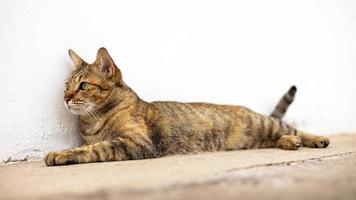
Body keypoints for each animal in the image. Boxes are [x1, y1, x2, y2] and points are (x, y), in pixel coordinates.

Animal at [43, 47, 328, 166]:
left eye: (83, 86)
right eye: (66, 84)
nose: (65, 98)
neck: (92, 121)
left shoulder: (138, 143)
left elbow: (96, 148)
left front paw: (61, 154)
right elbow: (89, 145)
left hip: (264, 123)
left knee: (290, 127)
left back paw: (313, 139)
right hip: (258, 137)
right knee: (275, 138)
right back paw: (289, 143)